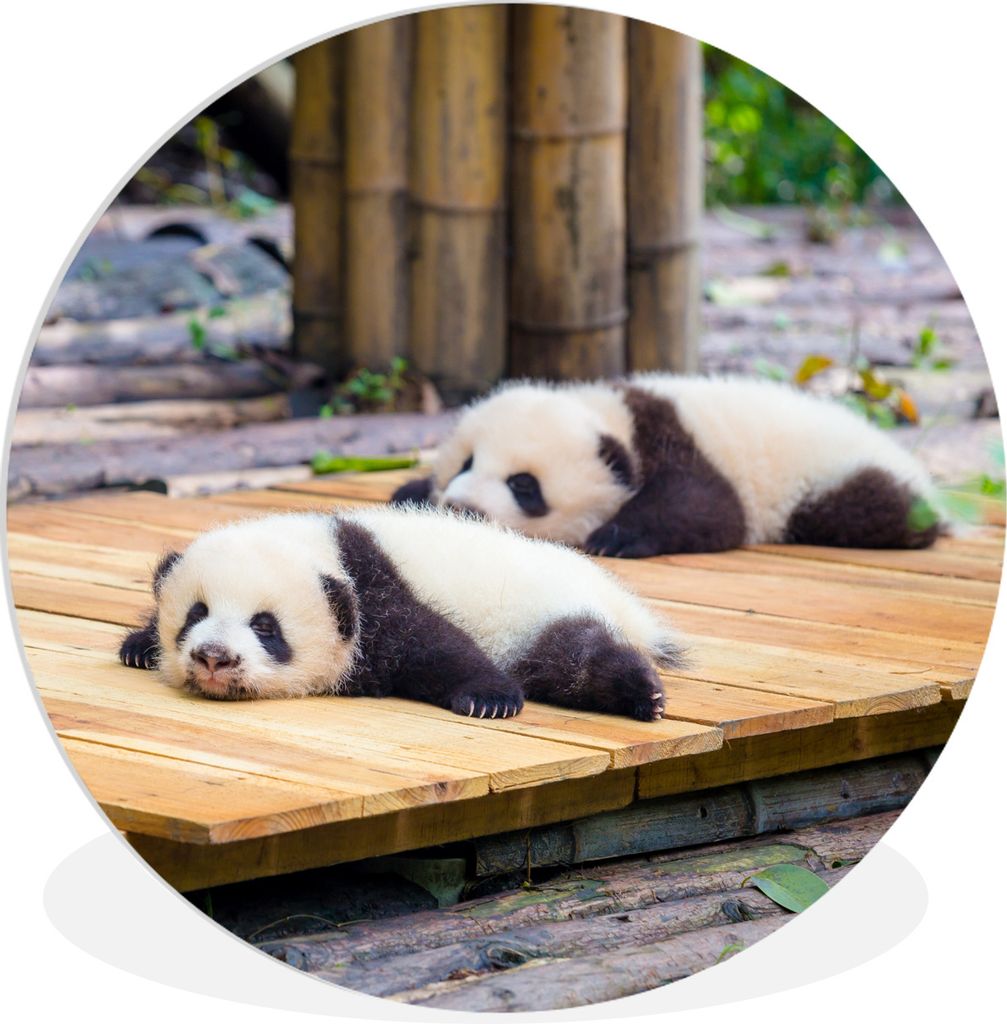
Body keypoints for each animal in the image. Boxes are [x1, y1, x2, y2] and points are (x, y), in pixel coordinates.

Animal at [118, 505, 684, 722]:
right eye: (195, 614)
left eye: (265, 626)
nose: (214, 657)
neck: (324, 547)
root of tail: (616, 596)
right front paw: (139, 646)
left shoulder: (378, 594)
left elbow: (437, 645)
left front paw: (489, 699)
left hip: (544, 611)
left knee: (575, 657)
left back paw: (643, 693)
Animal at [391, 374, 946, 557]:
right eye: (465, 462)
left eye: (524, 486)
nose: (462, 506)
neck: (614, 414)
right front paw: (410, 493)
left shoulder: (680, 446)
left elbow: (709, 508)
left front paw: (617, 537)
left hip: (834, 478)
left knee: (870, 508)